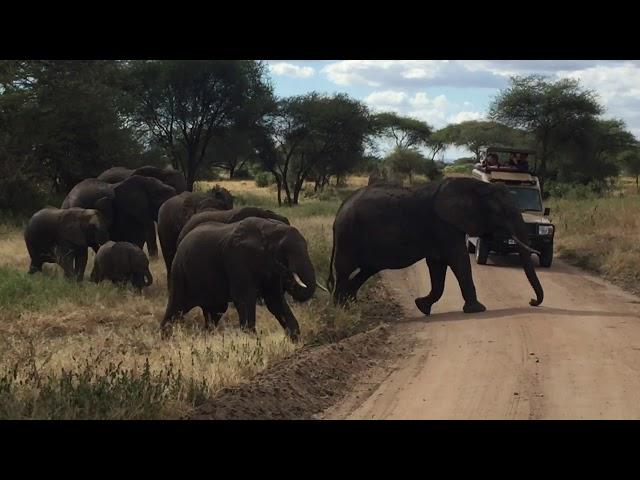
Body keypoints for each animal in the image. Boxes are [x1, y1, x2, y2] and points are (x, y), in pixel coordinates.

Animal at [161, 218, 316, 342]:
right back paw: (167, 339)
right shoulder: (238, 260)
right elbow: (244, 299)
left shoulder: (270, 270)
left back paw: (208, 337)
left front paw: (295, 341)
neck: (269, 229)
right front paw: (252, 342)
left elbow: (275, 300)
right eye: (283, 251)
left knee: (215, 312)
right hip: (179, 273)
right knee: (176, 308)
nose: (291, 278)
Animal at [328, 177, 544, 316]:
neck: (476, 185)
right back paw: (341, 309)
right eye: (502, 211)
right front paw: (477, 309)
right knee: (344, 270)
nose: (532, 302)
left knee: (367, 269)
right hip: (349, 235)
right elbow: (459, 259)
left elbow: (437, 265)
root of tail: (339, 209)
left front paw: (422, 306)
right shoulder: (444, 225)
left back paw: (351, 303)